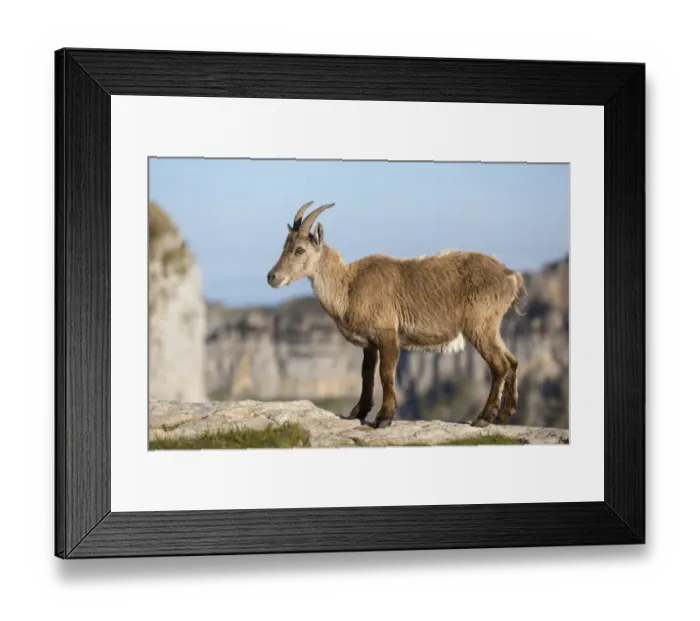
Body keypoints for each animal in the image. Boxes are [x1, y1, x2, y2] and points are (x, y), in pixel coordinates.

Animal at [267, 201, 527, 429]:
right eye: (283, 246)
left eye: (299, 250)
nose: (272, 277)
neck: (349, 286)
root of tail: (510, 275)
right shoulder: (369, 344)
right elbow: (366, 375)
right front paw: (358, 413)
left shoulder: (388, 335)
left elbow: (386, 374)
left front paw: (384, 418)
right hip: (492, 327)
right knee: (513, 361)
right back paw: (504, 415)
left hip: (479, 326)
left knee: (500, 365)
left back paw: (483, 417)